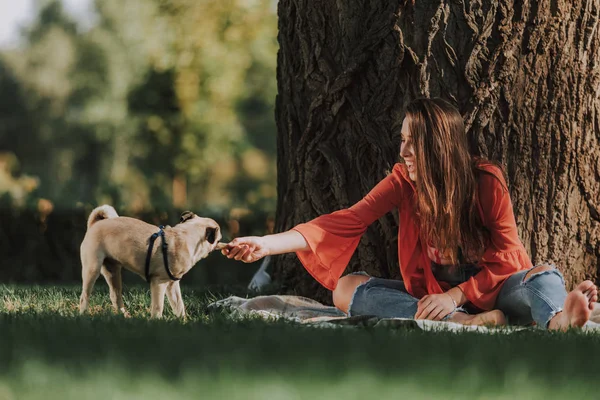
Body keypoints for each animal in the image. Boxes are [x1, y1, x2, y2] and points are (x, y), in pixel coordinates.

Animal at [78, 205, 221, 318]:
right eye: (218, 239)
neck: (186, 235)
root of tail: (95, 224)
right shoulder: (159, 282)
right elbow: (158, 307)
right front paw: (156, 321)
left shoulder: (172, 285)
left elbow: (179, 305)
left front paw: (183, 321)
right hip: (92, 269)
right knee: (85, 295)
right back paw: (83, 315)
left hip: (112, 272)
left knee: (115, 296)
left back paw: (124, 316)